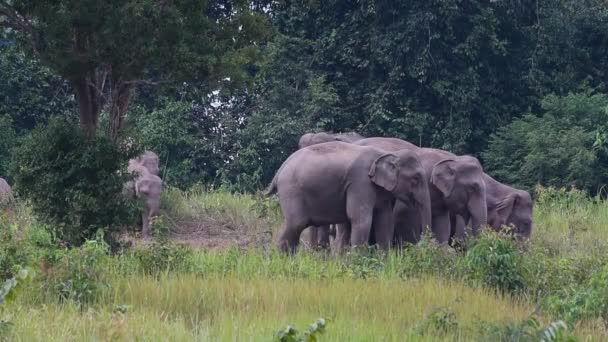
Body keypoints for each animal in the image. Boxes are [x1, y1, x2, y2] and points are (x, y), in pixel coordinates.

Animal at [266, 140, 432, 252]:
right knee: (296, 224)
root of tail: (280, 169)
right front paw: (359, 261)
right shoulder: (360, 183)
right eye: (415, 179)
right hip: (291, 190)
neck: (385, 153)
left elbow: (384, 221)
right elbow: (361, 219)